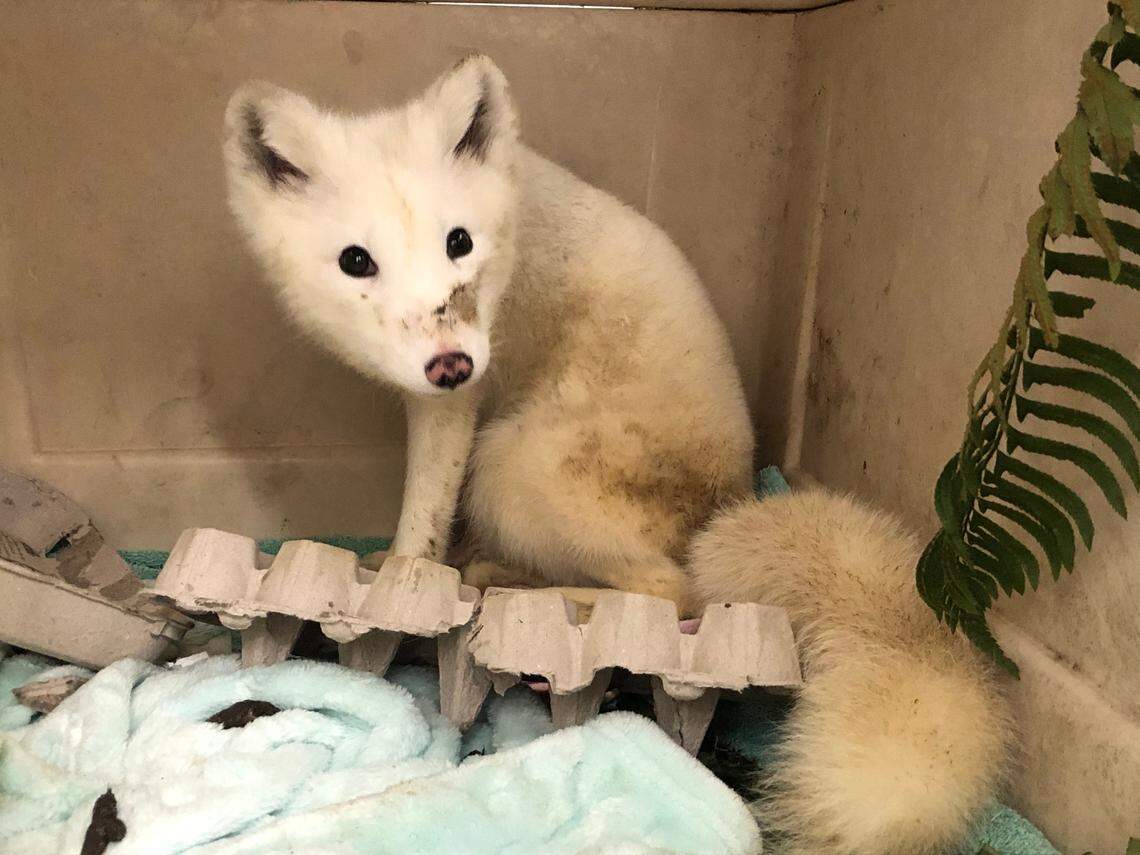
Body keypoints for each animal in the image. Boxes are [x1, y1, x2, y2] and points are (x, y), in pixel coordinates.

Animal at [222, 55, 1011, 854]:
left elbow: (423, 508)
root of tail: (730, 500)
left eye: (459, 243)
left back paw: (530, 595)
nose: (452, 362)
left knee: (672, 592)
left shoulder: (455, 412)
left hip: (510, 466)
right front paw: (396, 566)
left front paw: (404, 581)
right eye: (356, 261)